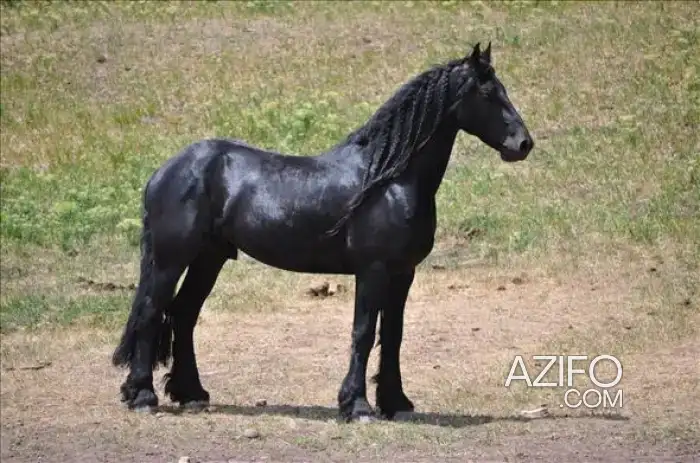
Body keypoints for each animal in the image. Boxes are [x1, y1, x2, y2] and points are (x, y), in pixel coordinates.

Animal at [111, 42, 534, 422]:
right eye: (487, 93)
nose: (523, 144)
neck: (388, 180)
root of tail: (164, 172)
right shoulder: (373, 270)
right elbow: (363, 332)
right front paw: (357, 406)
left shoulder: (403, 273)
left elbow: (392, 334)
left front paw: (395, 402)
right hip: (171, 260)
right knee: (151, 313)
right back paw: (144, 396)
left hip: (209, 259)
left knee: (182, 315)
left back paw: (191, 394)